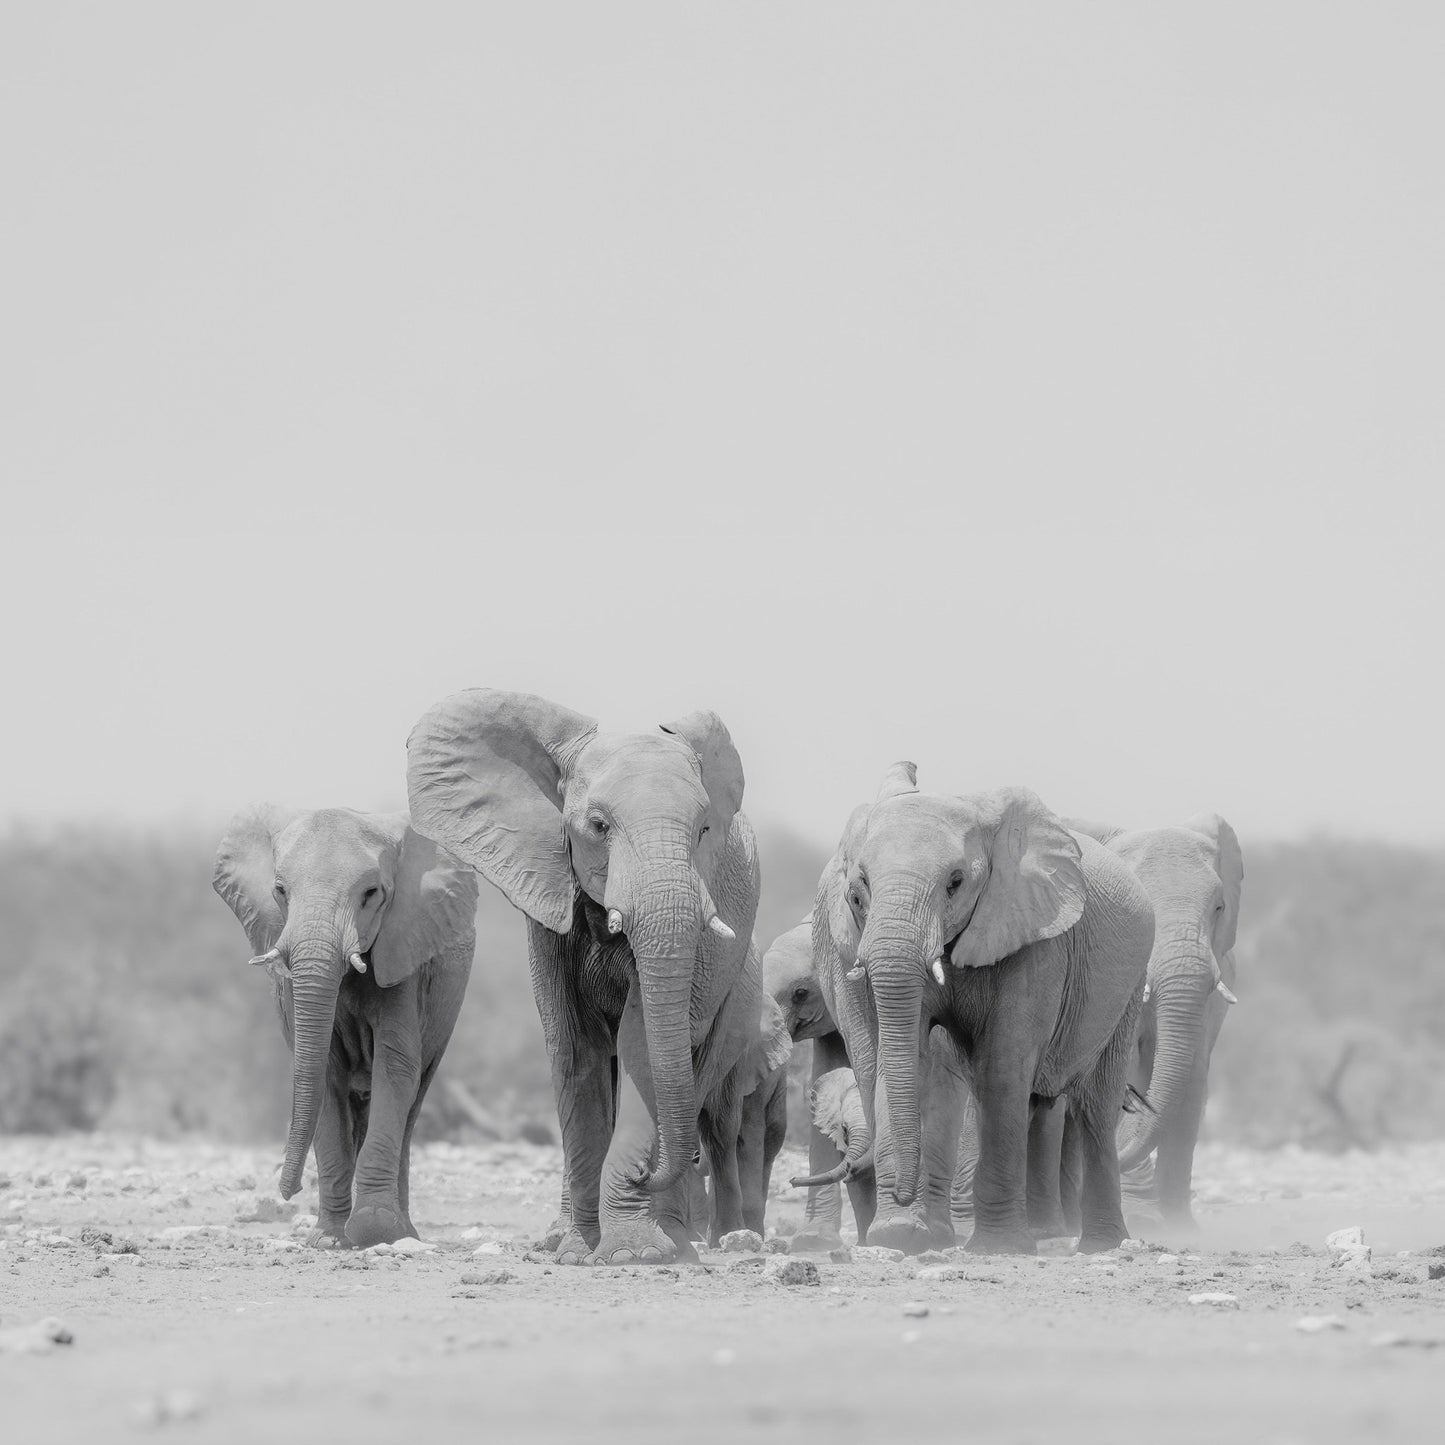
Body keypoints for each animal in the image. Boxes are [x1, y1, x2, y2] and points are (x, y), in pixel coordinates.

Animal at [213, 807, 478, 1248]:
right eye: (280, 890)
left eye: (371, 893)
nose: (289, 1191)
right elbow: (323, 1075)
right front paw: (329, 1240)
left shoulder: (402, 953)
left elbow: (395, 1067)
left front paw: (374, 1230)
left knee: (412, 1106)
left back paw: (405, 1233)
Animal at [405, 688, 760, 1266]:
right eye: (598, 826)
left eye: (704, 830)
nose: (644, 1174)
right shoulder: (549, 899)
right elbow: (576, 1047)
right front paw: (580, 1252)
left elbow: (642, 1043)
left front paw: (636, 1255)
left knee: (695, 1062)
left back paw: (677, 1239)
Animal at [814, 765, 1154, 1256]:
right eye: (858, 895)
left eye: (956, 883)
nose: (902, 1192)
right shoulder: (849, 950)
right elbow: (890, 1060)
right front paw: (899, 1235)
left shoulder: (1036, 937)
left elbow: (1001, 1066)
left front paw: (1000, 1248)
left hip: (1128, 985)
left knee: (1095, 1104)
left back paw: (1101, 1246)